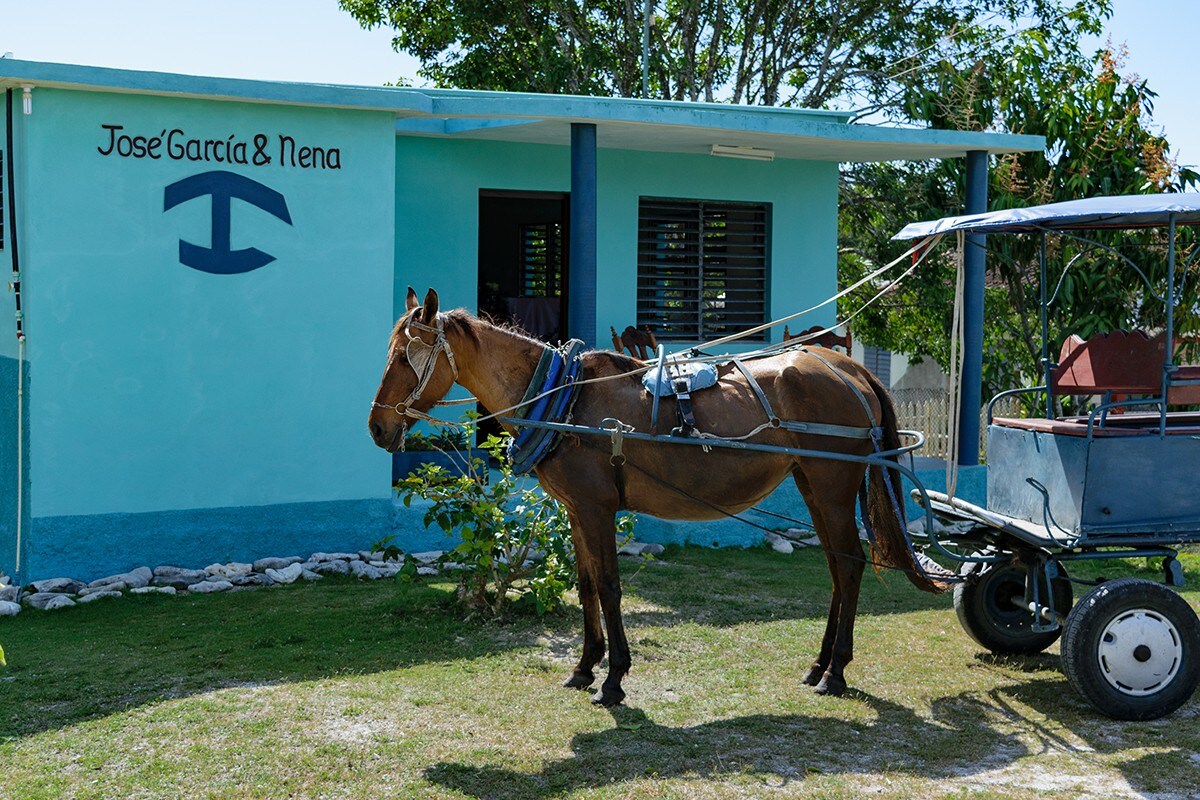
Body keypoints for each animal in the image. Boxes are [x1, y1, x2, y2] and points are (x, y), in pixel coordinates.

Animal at [364, 287, 945, 705]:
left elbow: (609, 587)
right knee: (836, 567)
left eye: (406, 357)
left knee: (849, 566)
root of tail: (847, 367)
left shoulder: (596, 509)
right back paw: (819, 665)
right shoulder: (576, 510)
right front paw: (584, 667)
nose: (376, 427)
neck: (563, 398)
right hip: (811, 484)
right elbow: (586, 586)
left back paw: (836, 672)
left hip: (832, 484)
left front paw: (613, 679)